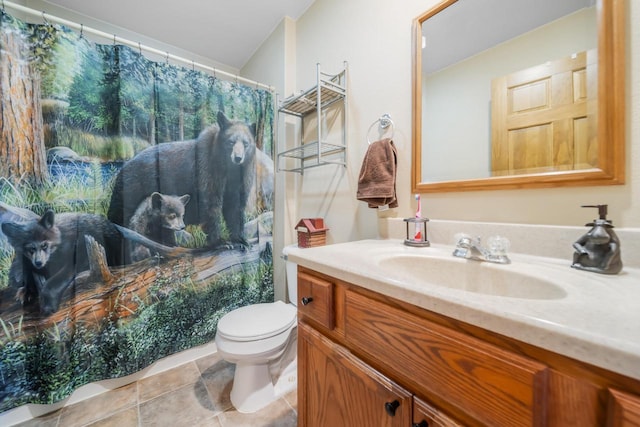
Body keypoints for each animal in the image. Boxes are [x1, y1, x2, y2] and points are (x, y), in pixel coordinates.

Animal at [0, 9, 272, 412]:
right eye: (230, 141)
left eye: (247, 142)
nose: (239, 154)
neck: (230, 166)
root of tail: (121, 170)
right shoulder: (209, 166)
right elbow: (212, 202)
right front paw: (222, 241)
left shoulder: (241, 176)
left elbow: (236, 204)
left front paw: (239, 238)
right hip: (129, 193)